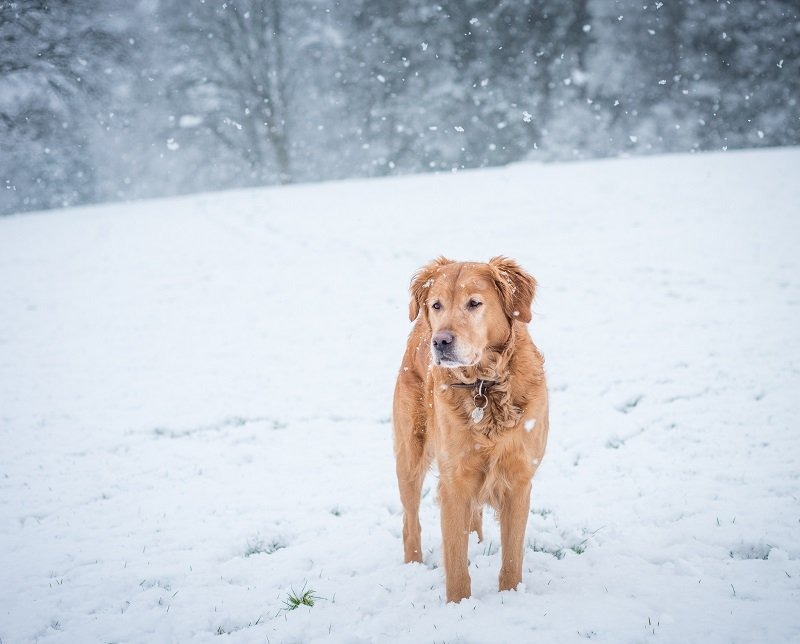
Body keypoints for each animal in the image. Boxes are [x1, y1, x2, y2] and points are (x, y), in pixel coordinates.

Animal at [394, 256, 552, 604]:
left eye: (474, 303)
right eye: (437, 305)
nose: (440, 341)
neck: (484, 386)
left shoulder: (518, 479)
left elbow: (512, 556)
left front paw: (511, 596)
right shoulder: (454, 481)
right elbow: (455, 561)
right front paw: (459, 605)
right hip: (409, 456)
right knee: (410, 522)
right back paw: (412, 566)